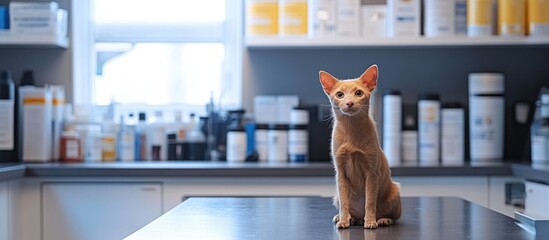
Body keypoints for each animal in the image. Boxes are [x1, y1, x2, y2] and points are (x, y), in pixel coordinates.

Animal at [316, 64, 402, 230]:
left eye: (358, 93)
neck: (352, 130)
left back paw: (382, 220)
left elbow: (370, 201)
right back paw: (347, 218)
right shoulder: (340, 173)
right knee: (347, 208)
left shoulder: (372, 172)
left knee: (393, 216)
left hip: (395, 191)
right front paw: (343, 220)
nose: (349, 103)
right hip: (335, 196)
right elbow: (344, 202)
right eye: (340, 94)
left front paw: (371, 221)